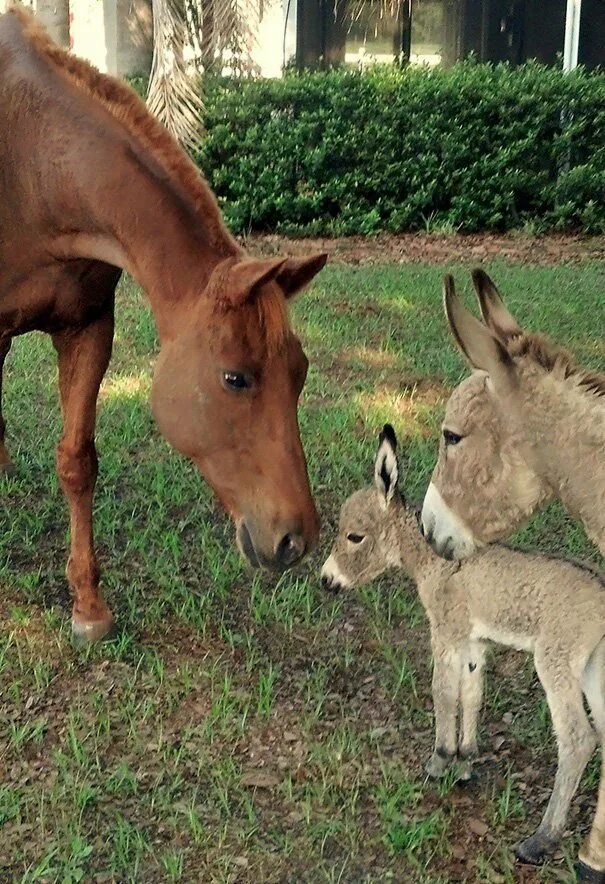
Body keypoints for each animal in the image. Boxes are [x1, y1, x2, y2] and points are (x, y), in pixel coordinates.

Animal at [0, 6, 328, 644]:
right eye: (235, 379)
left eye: (300, 373)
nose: (295, 540)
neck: (34, 166)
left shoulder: (88, 328)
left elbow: (78, 462)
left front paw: (89, 606)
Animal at [324, 426, 604, 876]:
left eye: (355, 537)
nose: (326, 581)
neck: (436, 564)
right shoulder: (475, 642)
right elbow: (471, 695)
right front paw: (466, 762)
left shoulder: (446, 633)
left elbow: (443, 692)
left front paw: (439, 761)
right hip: (595, 668)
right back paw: (592, 857)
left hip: (557, 659)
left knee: (579, 739)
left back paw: (542, 840)